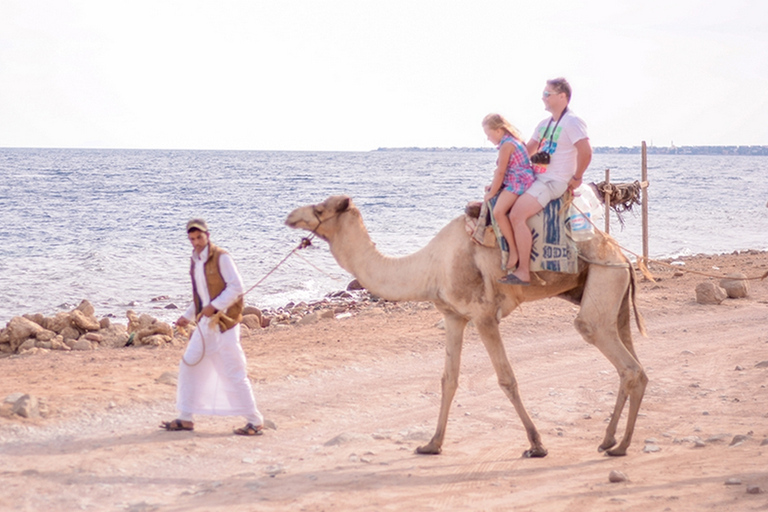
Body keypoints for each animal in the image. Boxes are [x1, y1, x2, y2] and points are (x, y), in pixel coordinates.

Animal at [284, 195, 648, 456]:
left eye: (320, 208)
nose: (290, 216)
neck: (430, 266)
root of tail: (626, 259)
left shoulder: (483, 315)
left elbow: (507, 379)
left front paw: (536, 445)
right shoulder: (453, 315)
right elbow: (448, 379)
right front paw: (432, 444)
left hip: (603, 282)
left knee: (616, 355)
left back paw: (620, 446)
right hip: (614, 298)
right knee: (633, 366)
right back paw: (610, 441)